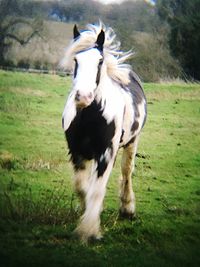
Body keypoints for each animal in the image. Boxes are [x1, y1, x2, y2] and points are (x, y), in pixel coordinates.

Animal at [61, 22, 147, 243]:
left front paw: (89, 231)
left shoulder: (107, 153)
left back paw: (127, 209)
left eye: (100, 61)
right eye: (76, 60)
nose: (83, 96)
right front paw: (88, 217)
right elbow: (82, 187)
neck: (90, 115)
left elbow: (97, 190)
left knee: (127, 172)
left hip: (132, 142)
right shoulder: (76, 151)